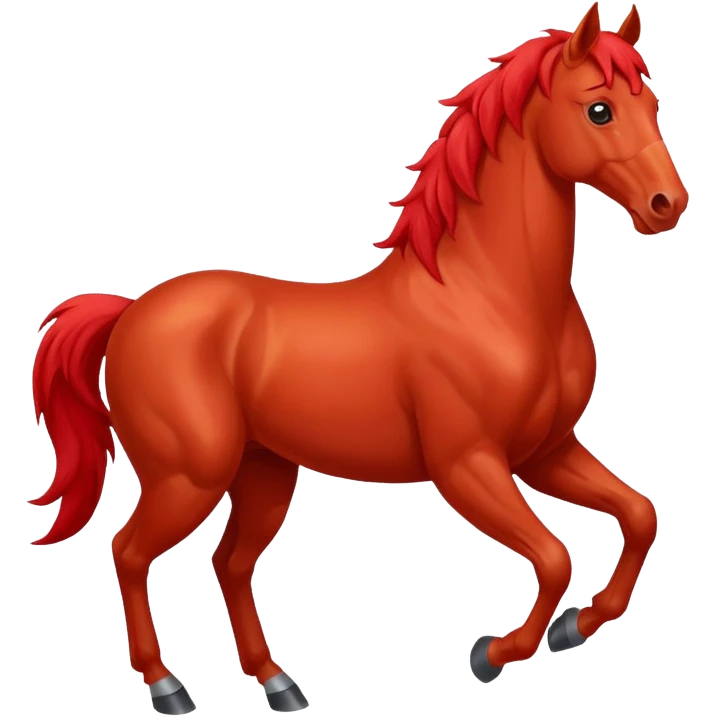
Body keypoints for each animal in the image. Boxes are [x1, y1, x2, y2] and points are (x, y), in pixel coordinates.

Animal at [28, 2, 687, 713]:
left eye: (652, 103)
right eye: (600, 110)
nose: (667, 206)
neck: (490, 295)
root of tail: (131, 313)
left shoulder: (547, 452)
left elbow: (640, 516)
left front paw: (573, 628)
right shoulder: (468, 465)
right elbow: (554, 557)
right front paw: (491, 654)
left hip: (263, 472)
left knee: (229, 564)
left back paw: (279, 684)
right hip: (188, 477)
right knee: (128, 551)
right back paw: (167, 685)